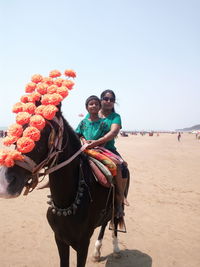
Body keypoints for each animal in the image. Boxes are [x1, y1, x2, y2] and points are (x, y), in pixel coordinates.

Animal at [0, 105, 128, 266]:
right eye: (18, 132)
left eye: (42, 135)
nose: (6, 182)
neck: (65, 203)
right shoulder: (60, 239)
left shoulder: (83, 244)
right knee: (105, 223)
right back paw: (97, 252)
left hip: (119, 203)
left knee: (115, 221)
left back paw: (116, 249)